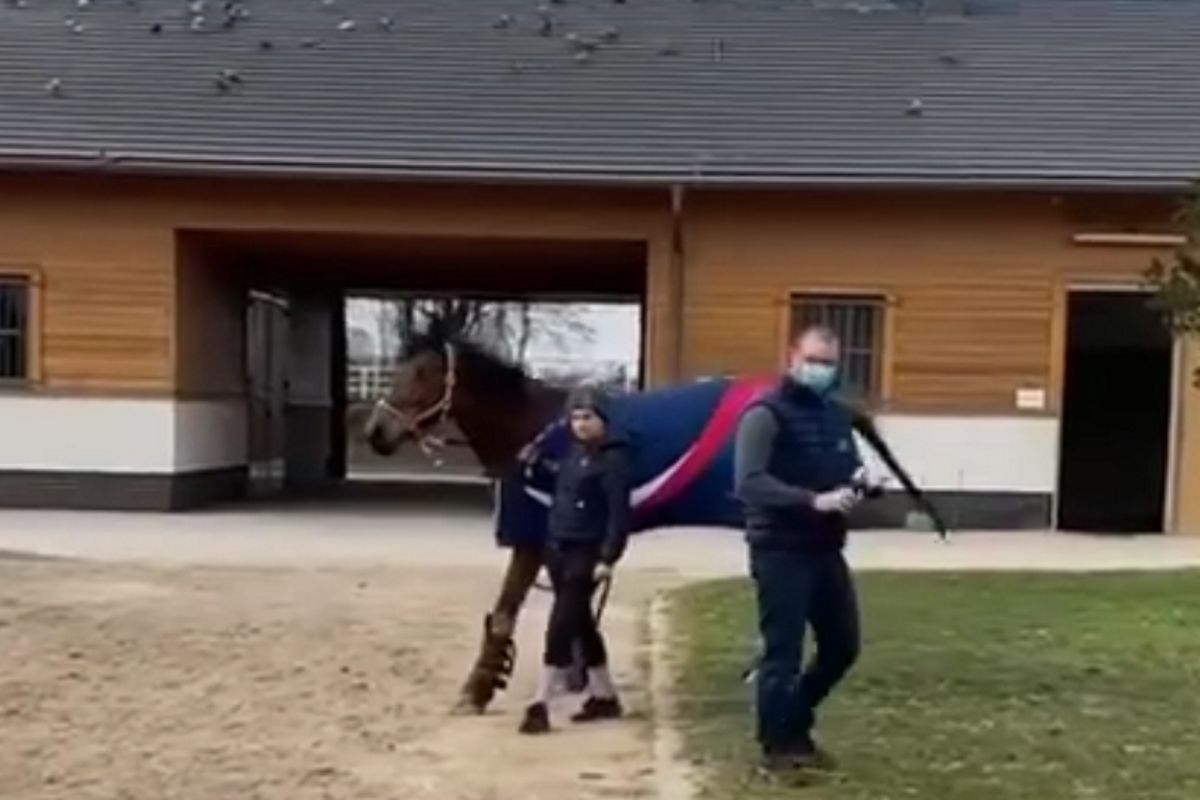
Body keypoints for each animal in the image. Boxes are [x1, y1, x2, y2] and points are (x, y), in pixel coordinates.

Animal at [360, 328, 940, 714]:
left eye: (422, 374)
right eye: (397, 370)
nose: (375, 433)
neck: (542, 435)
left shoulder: (539, 539)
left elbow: (528, 612)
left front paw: (486, 687)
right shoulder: (557, 543)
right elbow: (558, 610)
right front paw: (568, 680)